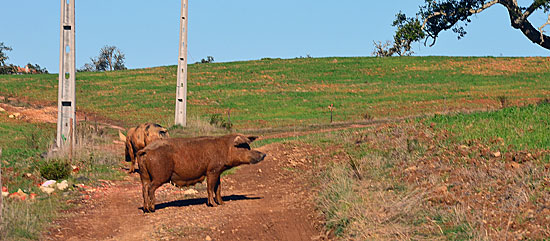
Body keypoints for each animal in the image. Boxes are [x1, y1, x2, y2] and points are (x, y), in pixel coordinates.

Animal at [137, 134, 268, 213]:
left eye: (248, 146)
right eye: (244, 147)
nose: (264, 154)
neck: (226, 149)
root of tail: (145, 150)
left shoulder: (218, 171)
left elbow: (218, 188)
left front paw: (223, 203)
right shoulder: (212, 170)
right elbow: (210, 188)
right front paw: (214, 205)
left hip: (144, 175)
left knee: (144, 188)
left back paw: (146, 209)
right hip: (160, 175)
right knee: (150, 188)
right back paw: (152, 209)